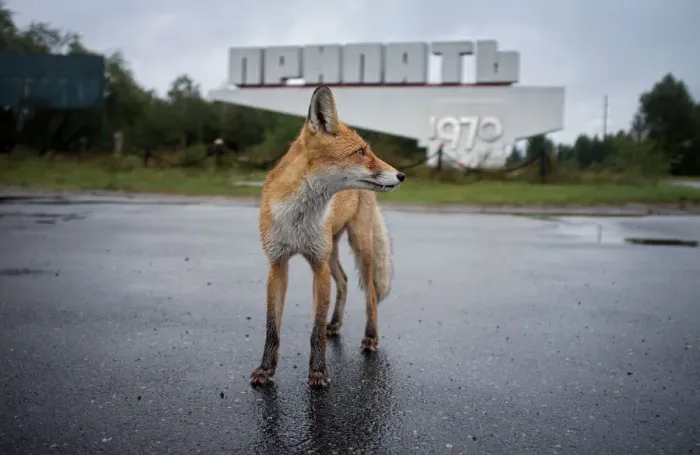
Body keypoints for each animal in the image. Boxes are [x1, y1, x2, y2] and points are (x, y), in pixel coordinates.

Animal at [250, 85, 406, 388]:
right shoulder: (277, 263)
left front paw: (319, 372)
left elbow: (316, 330)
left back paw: (370, 337)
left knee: (370, 292)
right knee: (344, 281)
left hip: (359, 245)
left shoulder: (318, 265)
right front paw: (266, 369)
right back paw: (336, 323)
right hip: (331, 250)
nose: (401, 175)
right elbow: (272, 327)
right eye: (360, 151)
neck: (298, 219)